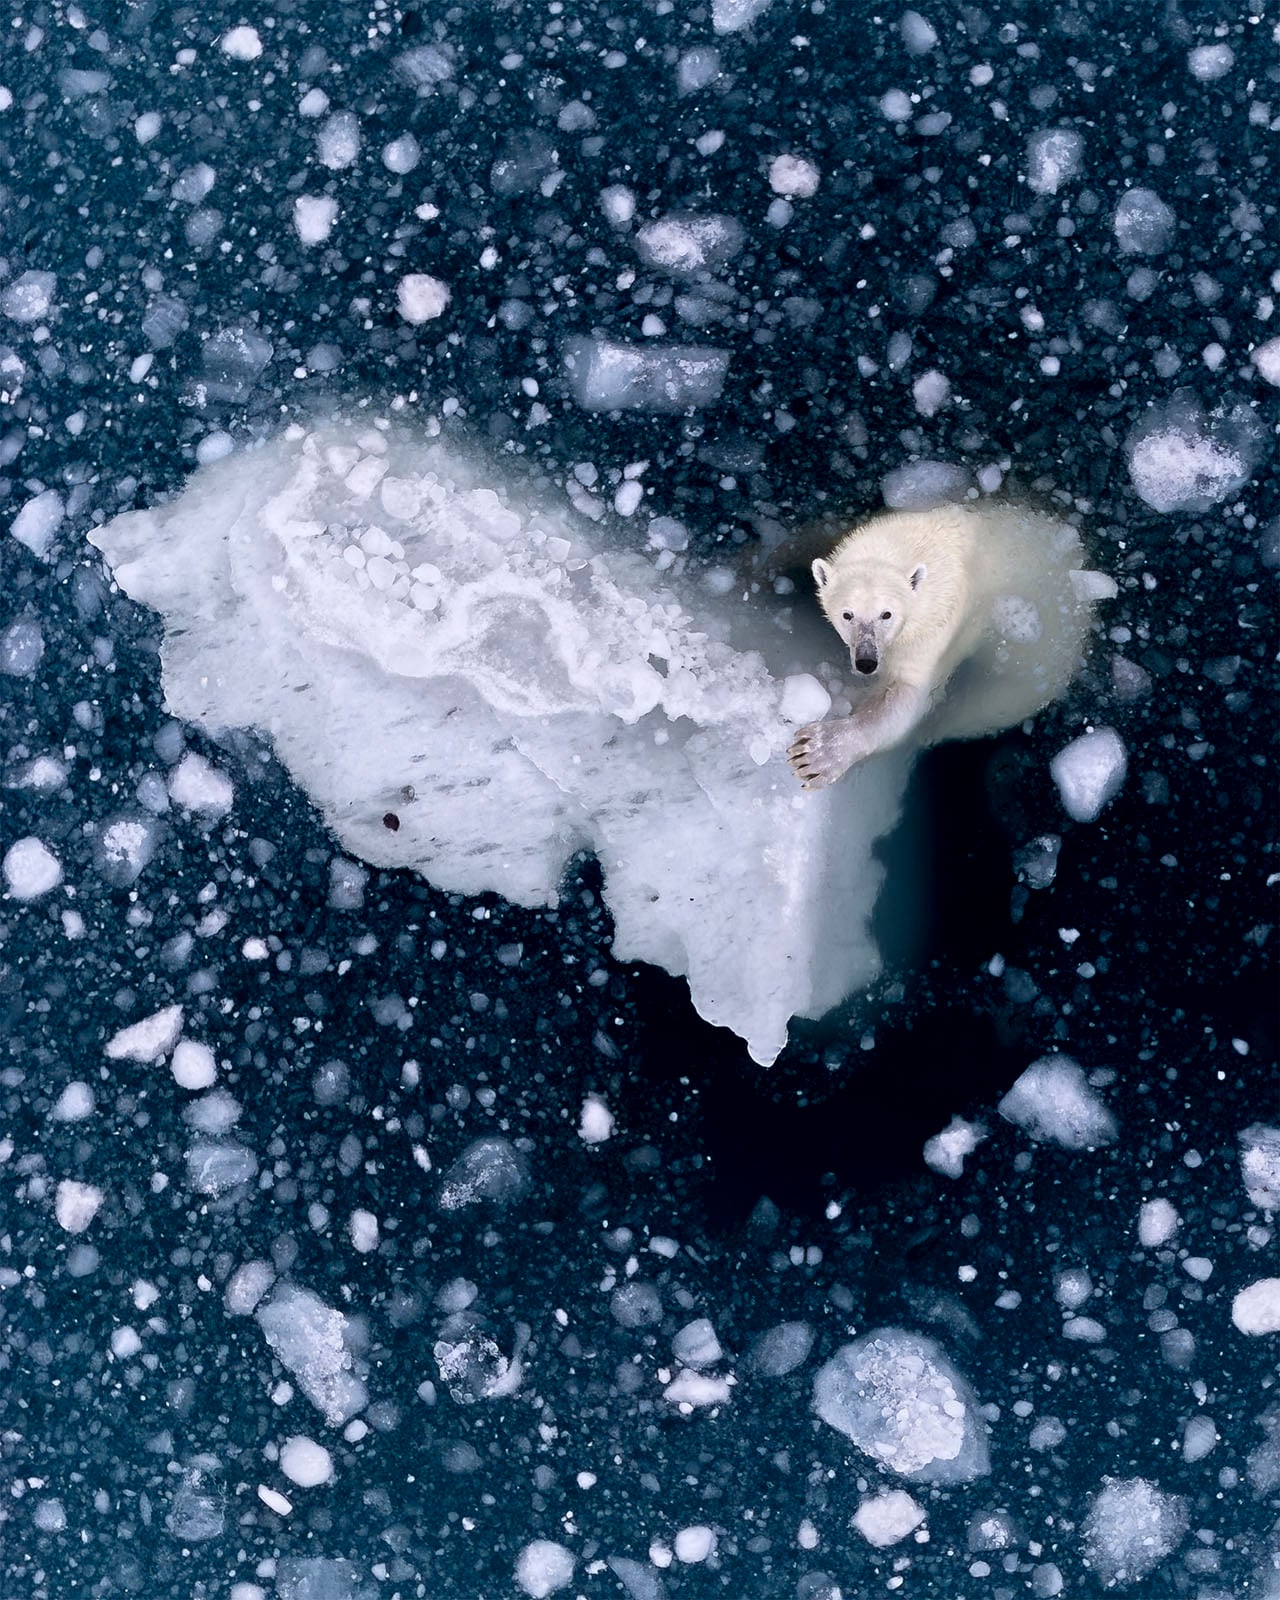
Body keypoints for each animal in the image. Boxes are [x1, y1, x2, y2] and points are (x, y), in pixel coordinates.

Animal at [787, 501, 1110, 790]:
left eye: (887, 614)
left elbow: (908, 693)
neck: (918, 544)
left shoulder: (936, 623)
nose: (867, 662)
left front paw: (817, 753)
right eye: (847, 614)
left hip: (1029, 671)